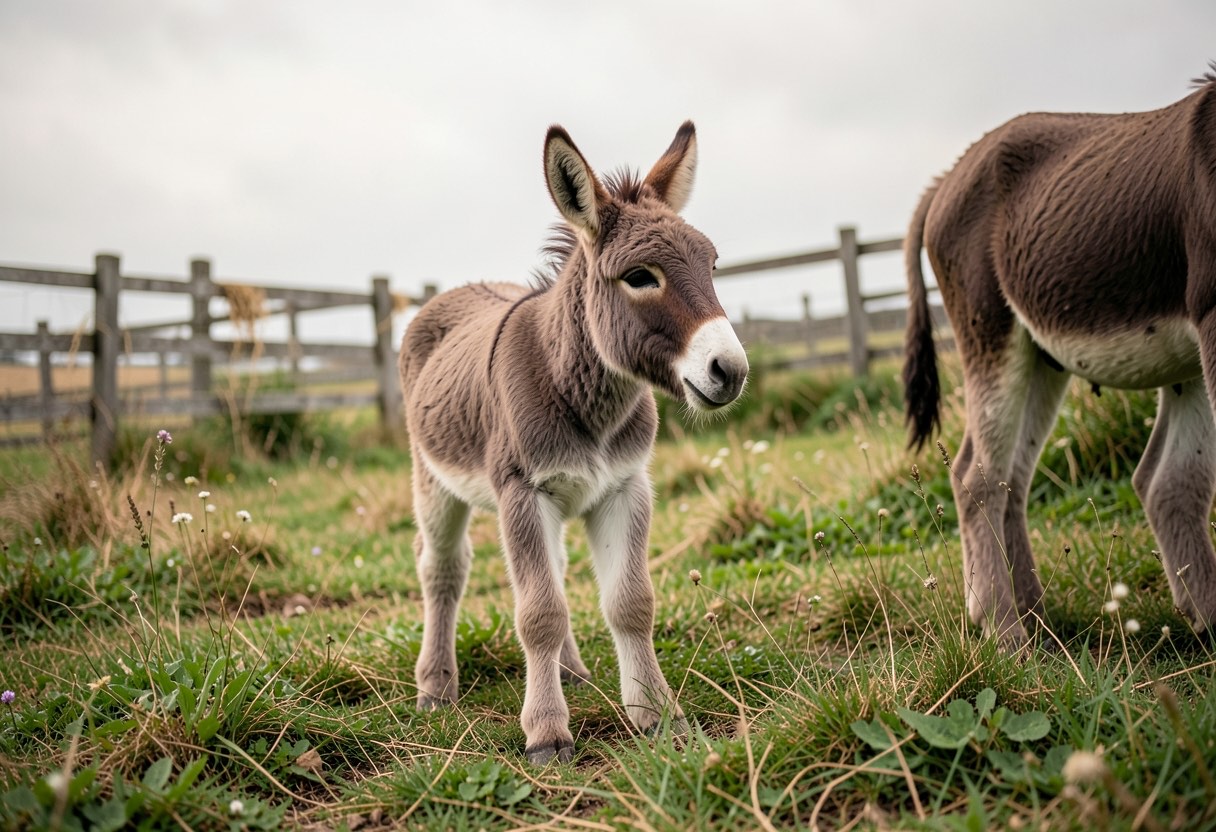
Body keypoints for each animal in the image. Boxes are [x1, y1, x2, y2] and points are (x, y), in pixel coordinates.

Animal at [399, 122, 748, 763]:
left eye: (712, 264)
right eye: (640, 276)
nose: (730, 372)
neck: (587, 398)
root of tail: (458, 289)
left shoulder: (624, 486)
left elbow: (630, 603)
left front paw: (658, 717)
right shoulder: (522, 491)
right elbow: (538, 612)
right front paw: (546, 733)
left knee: (554, 570)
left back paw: (572, 672)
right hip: (433, 481)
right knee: (442, 568)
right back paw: (436, 688)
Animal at [903, 66, 1216, 648]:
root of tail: (950, 176)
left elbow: (1178, 478)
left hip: (1046, 359)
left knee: (1021, 478)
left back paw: (1033, 616)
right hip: (992, 334)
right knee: (978, 478)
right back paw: (1007, 634)